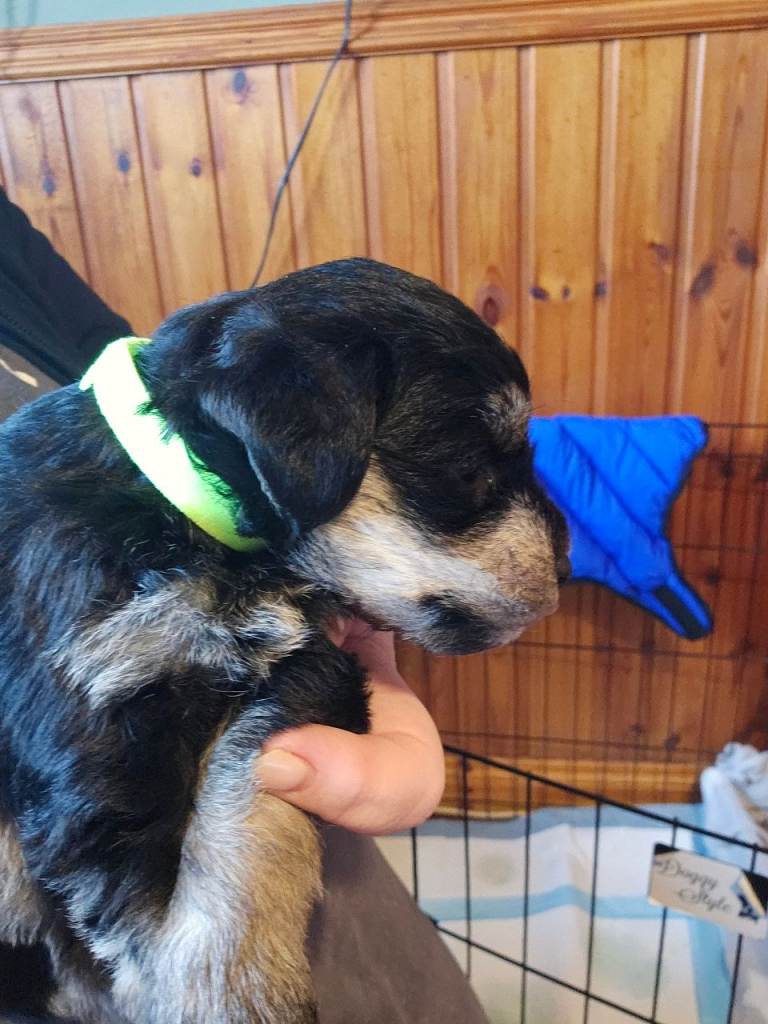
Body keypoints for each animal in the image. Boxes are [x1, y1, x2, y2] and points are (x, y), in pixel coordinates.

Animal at [0, 258, 569, 1023]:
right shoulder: (101, 710)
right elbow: (145, 917)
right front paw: (230, 996)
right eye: (470, 468)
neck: (176, 501)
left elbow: (247, 805)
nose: (565, 568)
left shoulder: (301, 663)